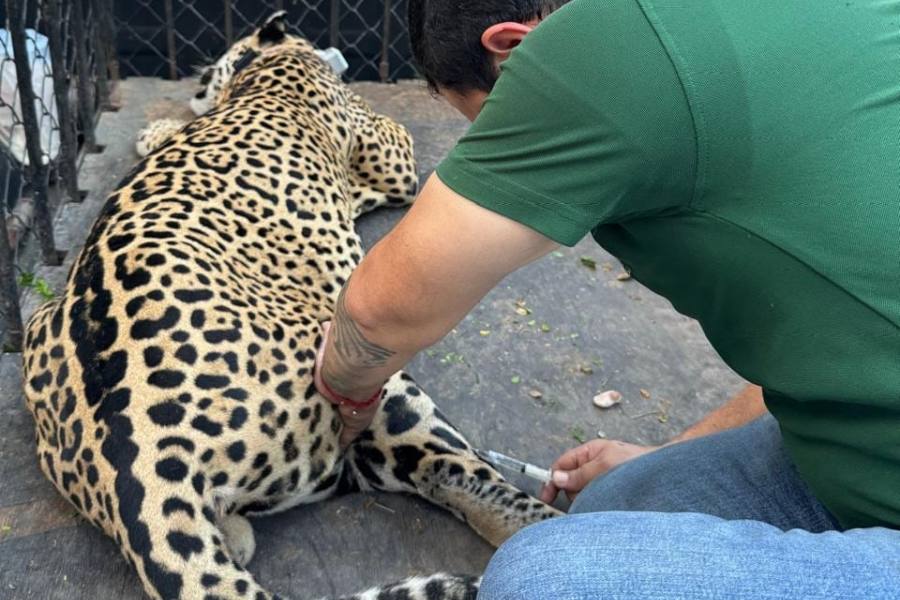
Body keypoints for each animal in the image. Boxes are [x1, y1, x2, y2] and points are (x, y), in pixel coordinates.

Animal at [22, 11, 560, 600]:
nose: (196, 80)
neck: (268, 64)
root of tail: (137, 471)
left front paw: (155, 132)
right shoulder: (395, 156)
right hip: (367, 368)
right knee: (469, 475)